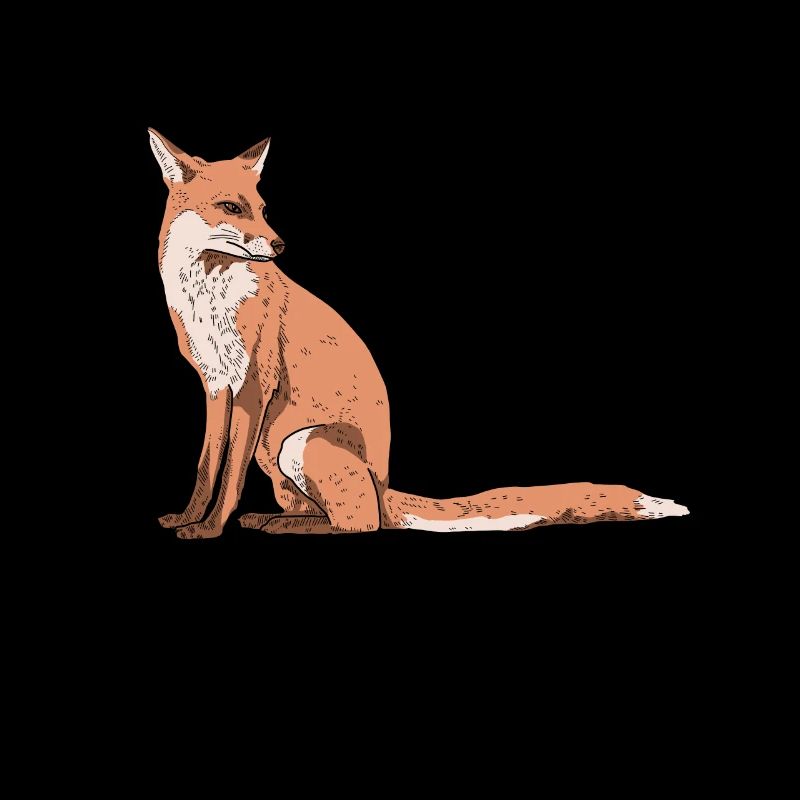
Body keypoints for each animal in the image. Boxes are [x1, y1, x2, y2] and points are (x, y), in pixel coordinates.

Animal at [149, 129, 689, 538]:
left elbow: (229, 478)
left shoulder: (254, 387)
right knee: (339, 514)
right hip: (275, 452)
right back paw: (272, 518)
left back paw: (285, 525)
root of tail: (386, 485)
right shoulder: (216, 387)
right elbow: (207, 467)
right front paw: (188, 519)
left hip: (298, 442)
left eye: (262, 208)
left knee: (362, 523)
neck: (205, 296)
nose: (281, 245)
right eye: (230, 207)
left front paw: (209, 529)